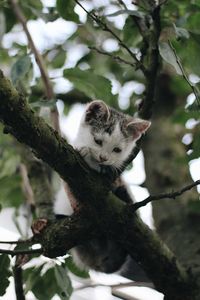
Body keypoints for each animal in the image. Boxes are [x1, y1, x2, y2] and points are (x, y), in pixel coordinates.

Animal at [54, 100, 150, 272]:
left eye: (117, 150)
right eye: (98, 141)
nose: (103, 158)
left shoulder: (117, 178)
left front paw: (107, 169)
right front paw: (84, 151)